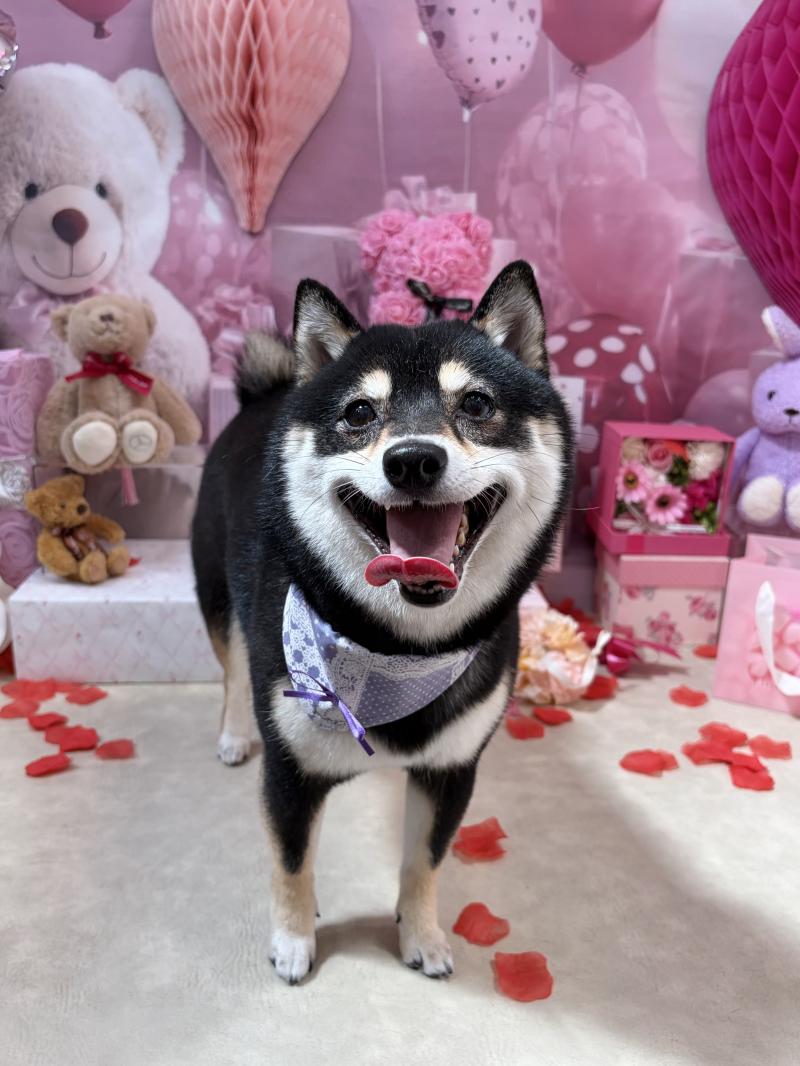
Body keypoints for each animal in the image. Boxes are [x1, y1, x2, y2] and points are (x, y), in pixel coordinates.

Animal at [191, 260, 573, 984]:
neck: (398, 653)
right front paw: (293, 942)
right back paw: (228, 735)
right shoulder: (289, 770)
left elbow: (423, 862)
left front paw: (421, 935)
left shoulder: (452, 769)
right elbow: (291, 865)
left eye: (476, 405)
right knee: (231, 674)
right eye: (360, 413)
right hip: (218, 600)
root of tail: (268, 394)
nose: (413, 459)